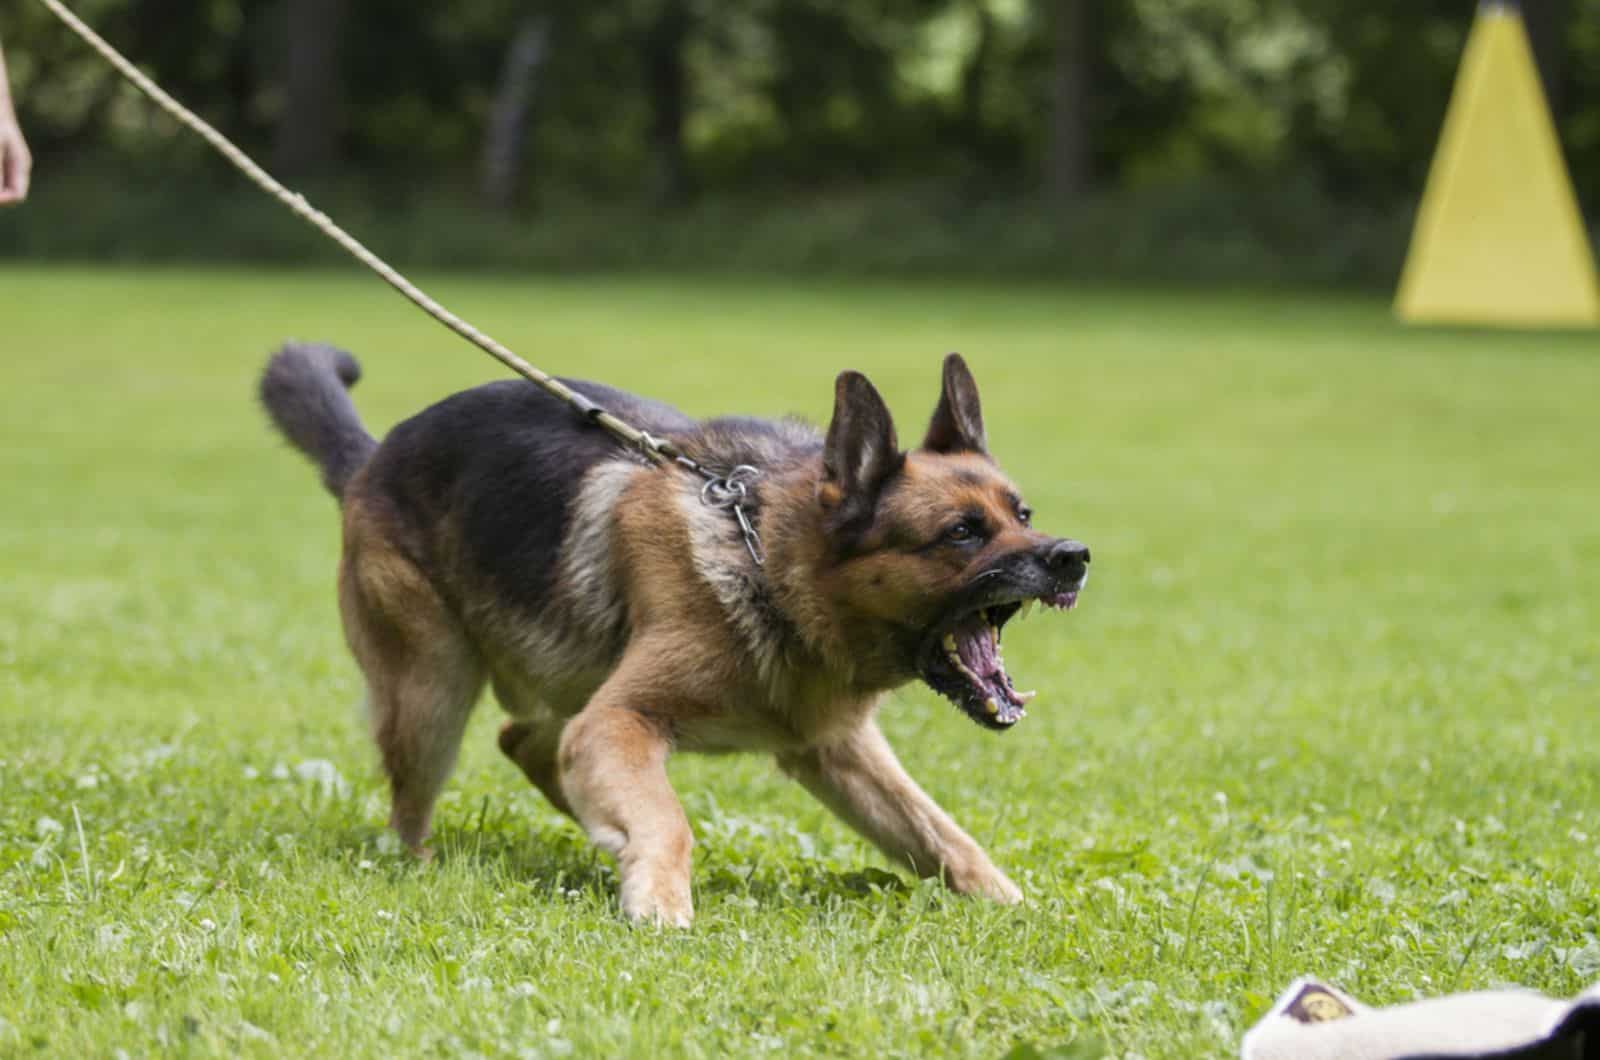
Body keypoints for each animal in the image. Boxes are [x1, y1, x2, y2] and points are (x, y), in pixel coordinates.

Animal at [262, 344, 1088, 928]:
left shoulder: (837, 750)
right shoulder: (622, 717)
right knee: (416, 805)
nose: (1073, 556)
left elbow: (942, 835)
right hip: (433, 693)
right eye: (961, 534)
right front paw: (659, 898)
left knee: (526, 742)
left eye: (1022, 513)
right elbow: (669, 819)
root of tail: (371, 457)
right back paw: (433, 861)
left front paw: (1013, 905)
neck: (768, 566)